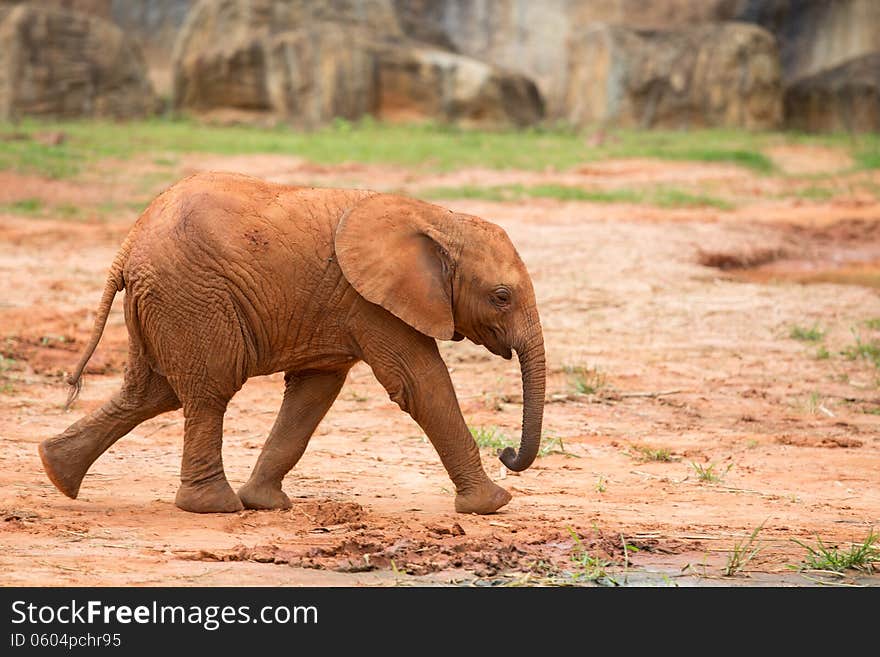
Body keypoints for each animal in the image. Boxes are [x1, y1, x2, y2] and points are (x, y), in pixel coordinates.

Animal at [43, 172, 552, 516]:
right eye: (501, 298)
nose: (507, 455)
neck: (440, 219)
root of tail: (127, 246)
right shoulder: (372, 303)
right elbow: (420, 383)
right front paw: (493, 504)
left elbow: (315, 391)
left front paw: (265, 503)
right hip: (190, 297)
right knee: (208, 389)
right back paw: (213, 506)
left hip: (164, 300)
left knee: (152, 391)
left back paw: (57, 471)